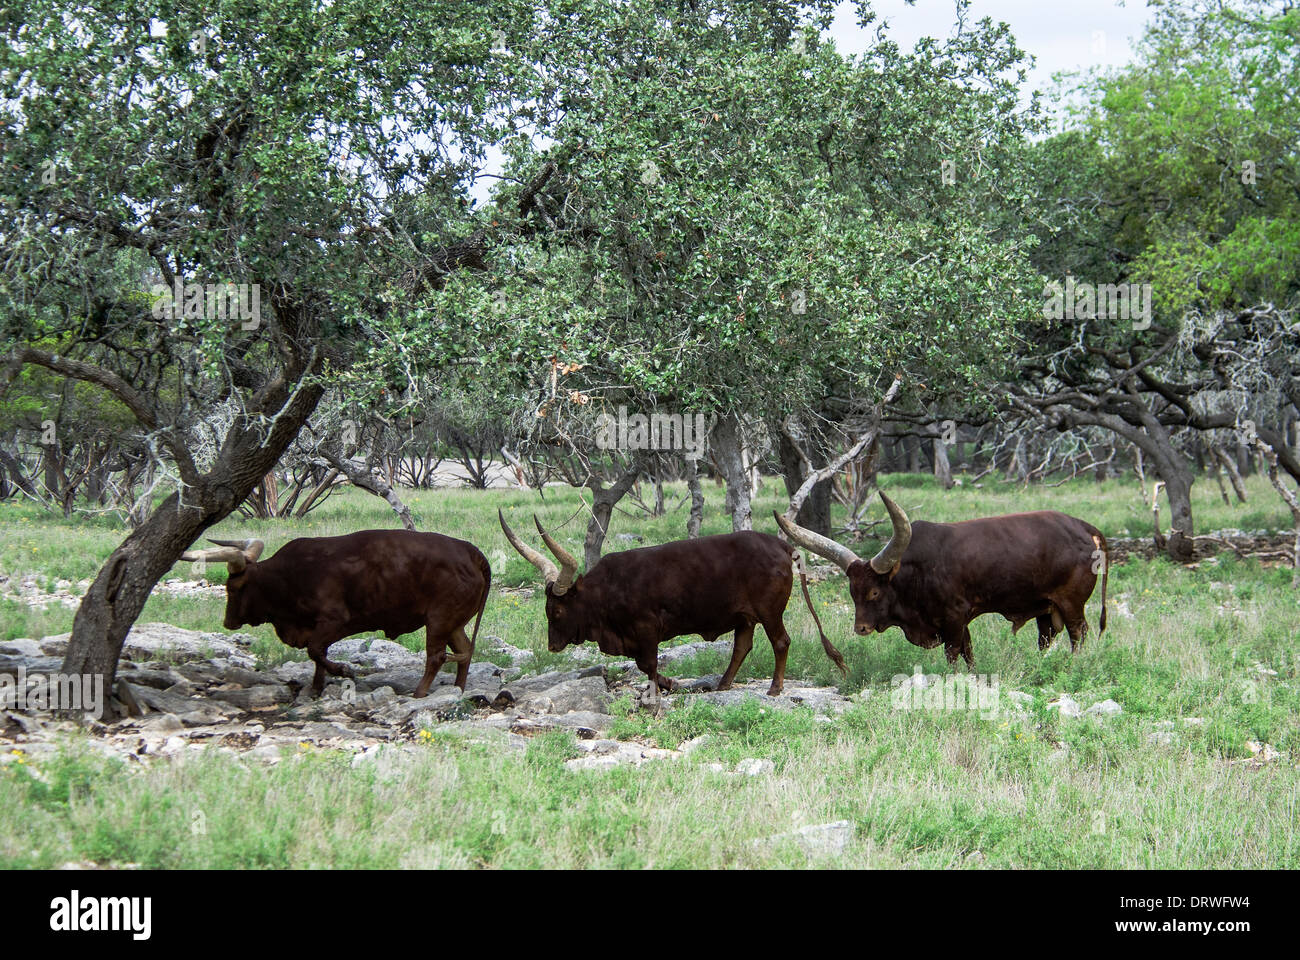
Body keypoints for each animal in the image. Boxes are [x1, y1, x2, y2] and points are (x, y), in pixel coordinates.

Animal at [769, 494, 1107, 666]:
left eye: (875, 592)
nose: (860, 628)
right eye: (852, 592)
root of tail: (1084, 528)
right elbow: (970, 657)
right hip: (1045, 608)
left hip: (1072, 604)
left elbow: (955, 657)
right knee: (1046, 638)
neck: (914, 574)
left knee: (1078, 635)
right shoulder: (959, 624)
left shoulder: (954, 621)